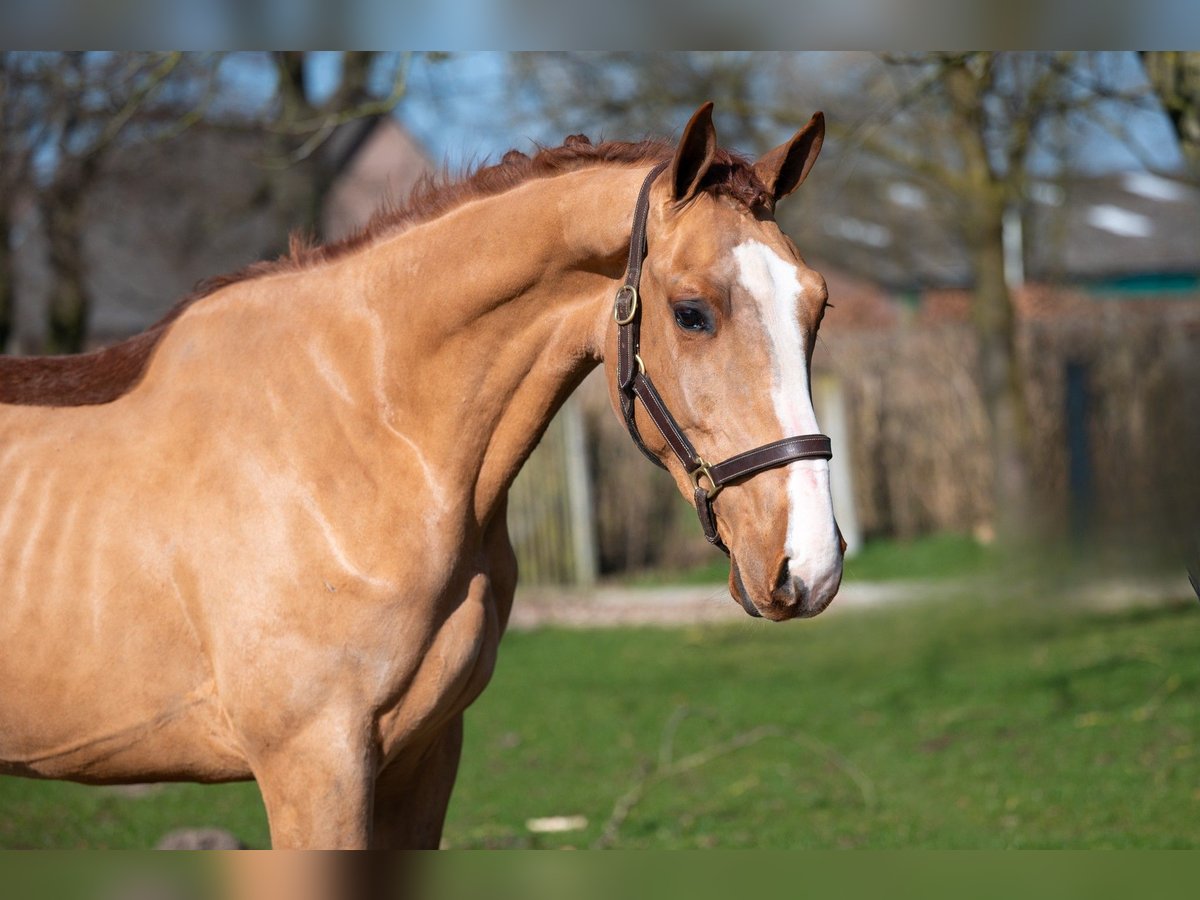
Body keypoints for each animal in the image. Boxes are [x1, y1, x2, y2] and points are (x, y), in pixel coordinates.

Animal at [0, 103, 844, 844]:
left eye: (819, 307)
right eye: (692, 312)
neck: (368, 440)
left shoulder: (425, 756)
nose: (811, 566)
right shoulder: (315, 765)